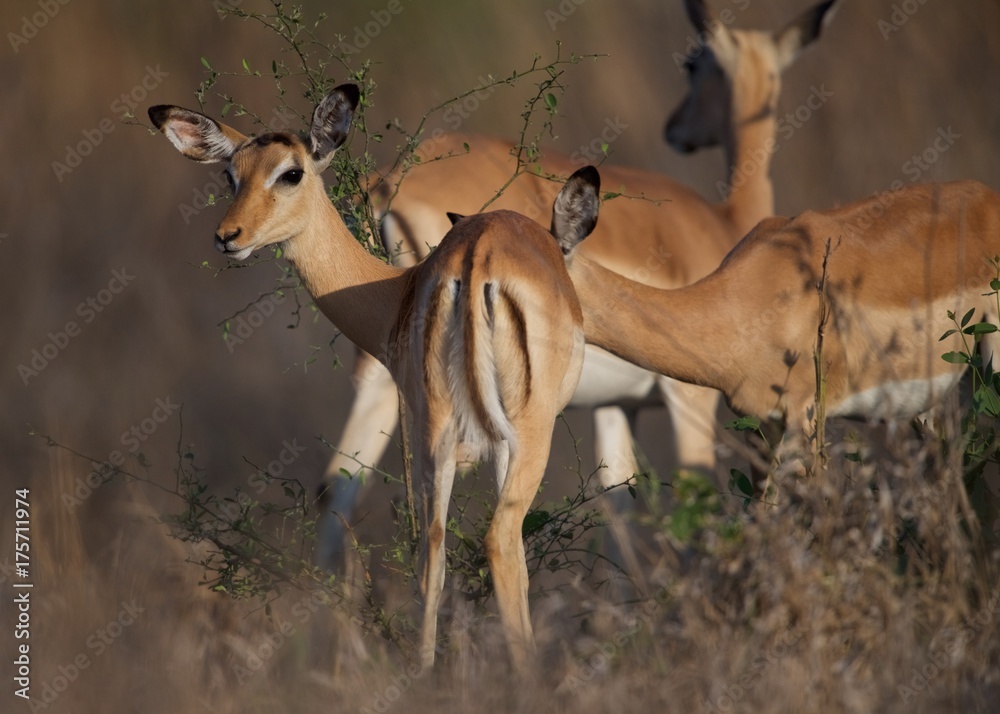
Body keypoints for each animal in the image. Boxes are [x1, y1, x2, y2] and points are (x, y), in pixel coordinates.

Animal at [149, 85, 600, 671]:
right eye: (231, 174)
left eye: (289, 172)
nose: (228, 236)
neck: (395, 293)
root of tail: (477, 261)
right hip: (524, 434)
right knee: (498, 541)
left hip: (438, 433)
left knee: (430, 551)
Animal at [317, 0, 840, 571]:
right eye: (692, 63)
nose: (676, 130)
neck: (723, 224)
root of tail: (392, 181)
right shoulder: (690, 398)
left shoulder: (617, 407)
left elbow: (617, 508)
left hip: (386, 369)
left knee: (338, 486)